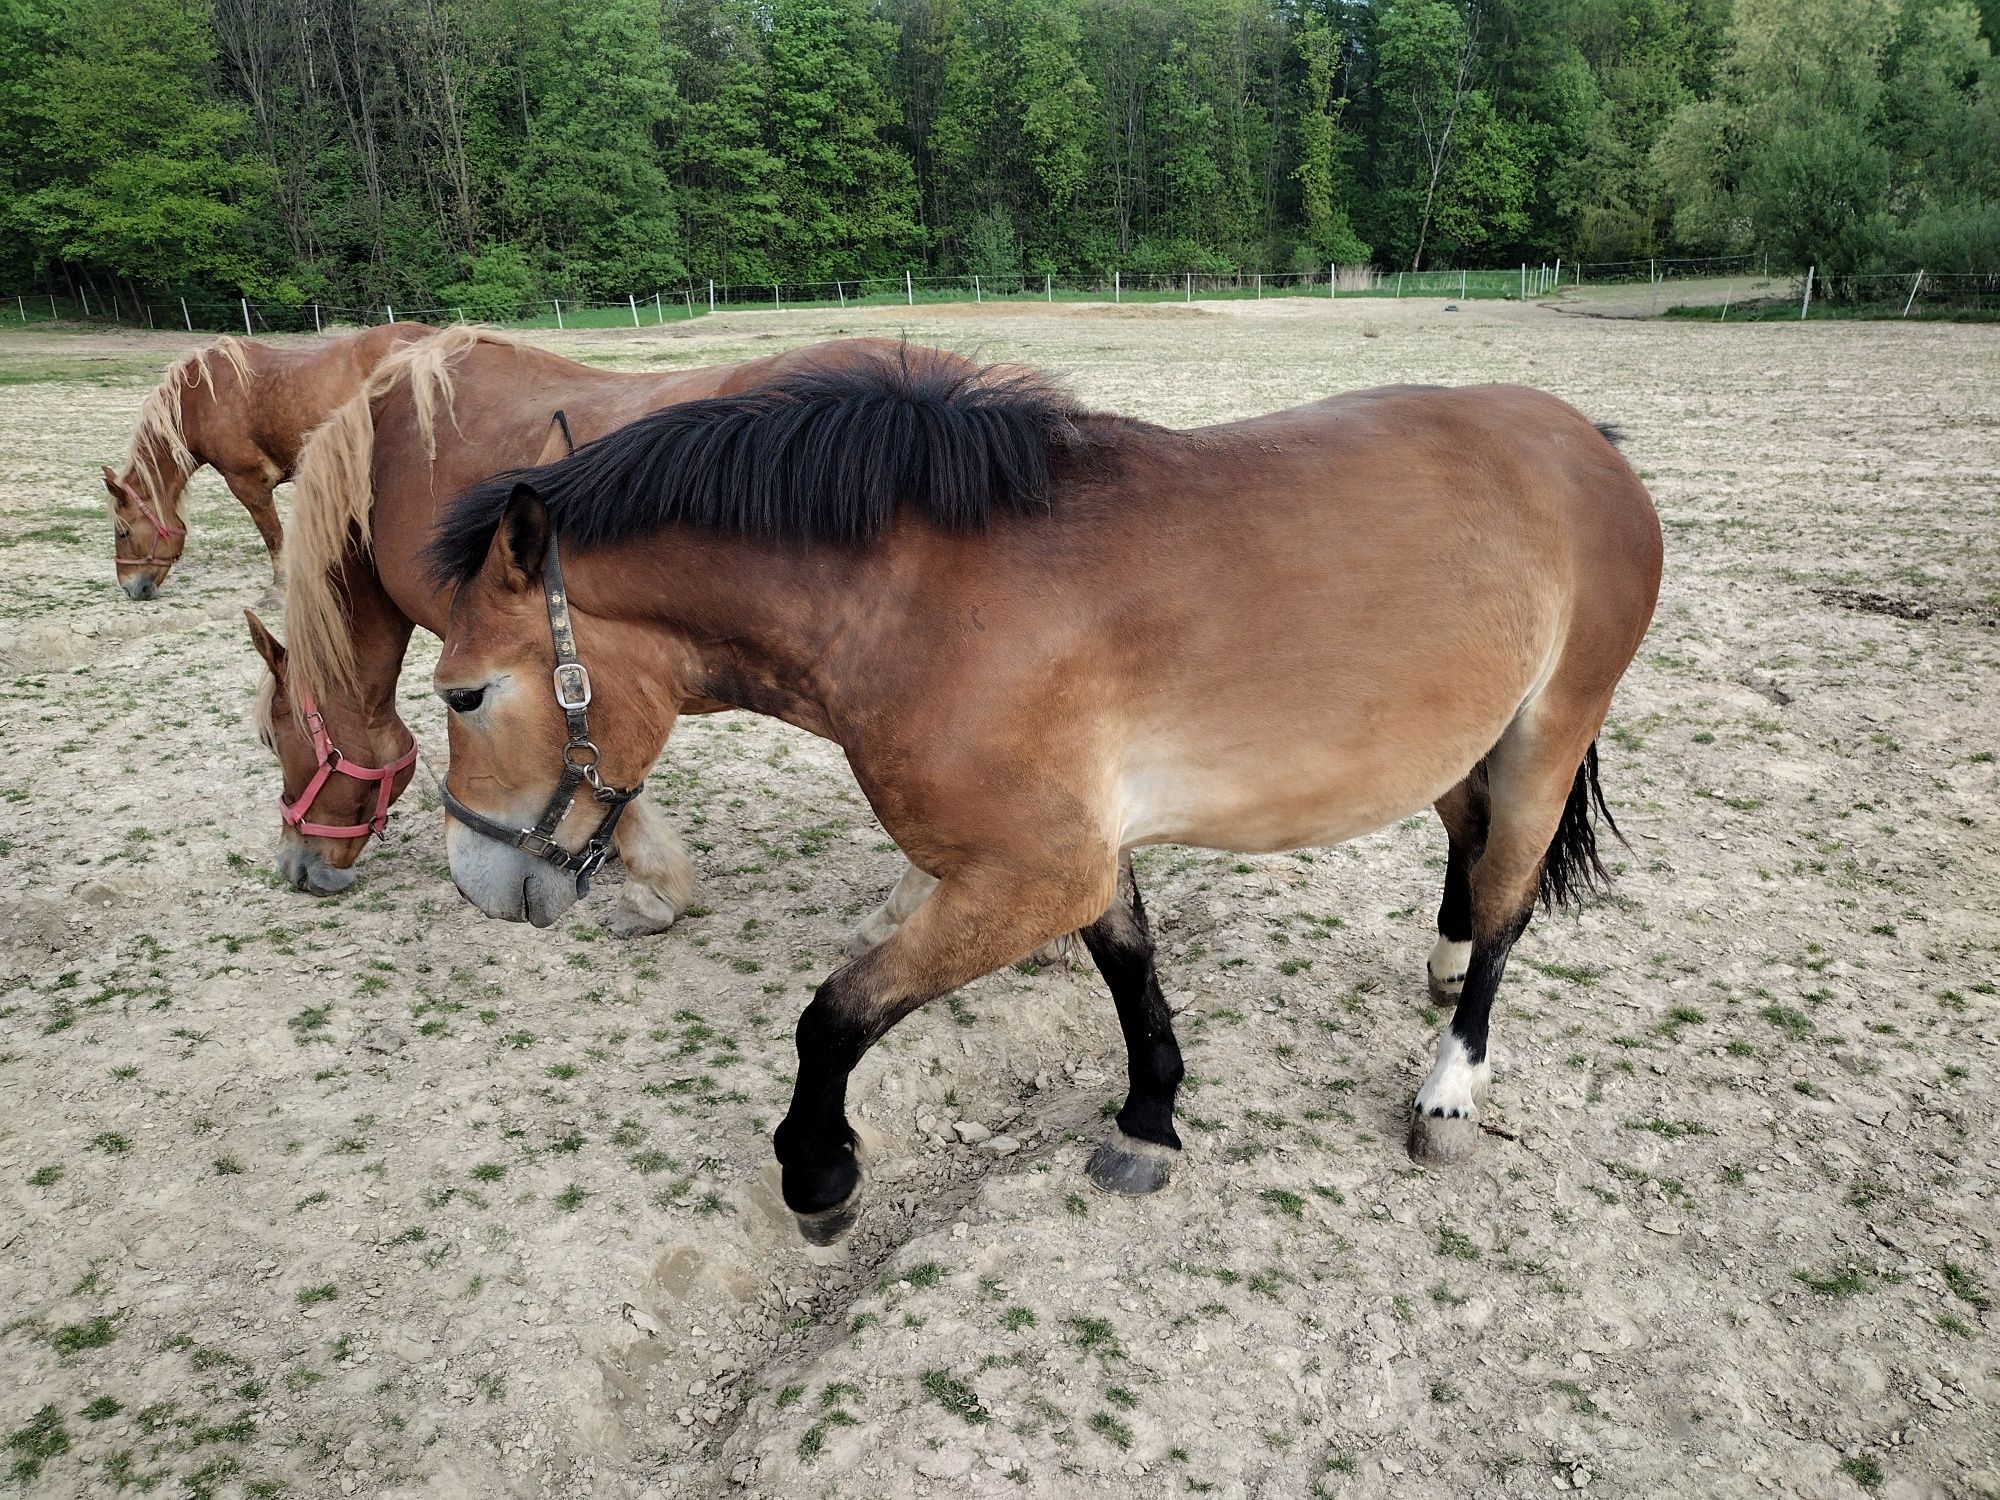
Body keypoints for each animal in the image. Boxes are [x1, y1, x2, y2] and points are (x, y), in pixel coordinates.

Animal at [106, 326, 434, 604]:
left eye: (123, 532)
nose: (130, 588)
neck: (200, 400)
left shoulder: (247, 482)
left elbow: (273, 535)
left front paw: (278, 589)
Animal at [430, 350, 1664, 1248]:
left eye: (463, 693)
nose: (480, 881)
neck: (915, 604)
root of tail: (1582, 441)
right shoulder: (1076, 853)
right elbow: (1128, 965)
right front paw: (1150, 1118)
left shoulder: (1029, 872)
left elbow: (835, 1014)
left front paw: (818, 1171)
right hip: (1461, 738)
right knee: (1470, 846)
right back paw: (1444, 963)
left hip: (1549, 733)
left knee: (1509, 899)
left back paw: (1451, 1085)